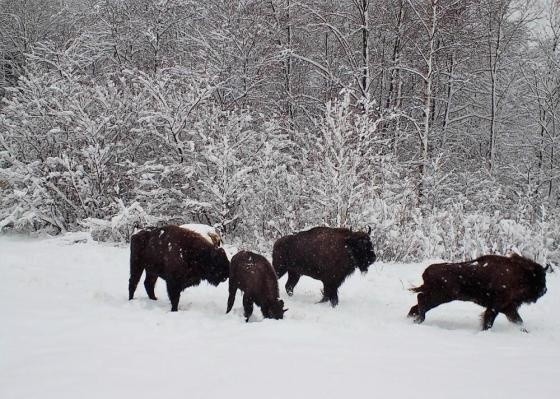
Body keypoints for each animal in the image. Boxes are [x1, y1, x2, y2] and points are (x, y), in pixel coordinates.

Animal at [406, 255, 548, 332]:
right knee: (420, 301)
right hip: (439, 297)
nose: (544, 290)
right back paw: (419, 320)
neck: (518, 274)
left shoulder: (508, 308)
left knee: (416, 304)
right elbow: (489, 321)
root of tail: (426, 271)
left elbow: (519, 321)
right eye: (539, 278)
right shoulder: (495, 307)